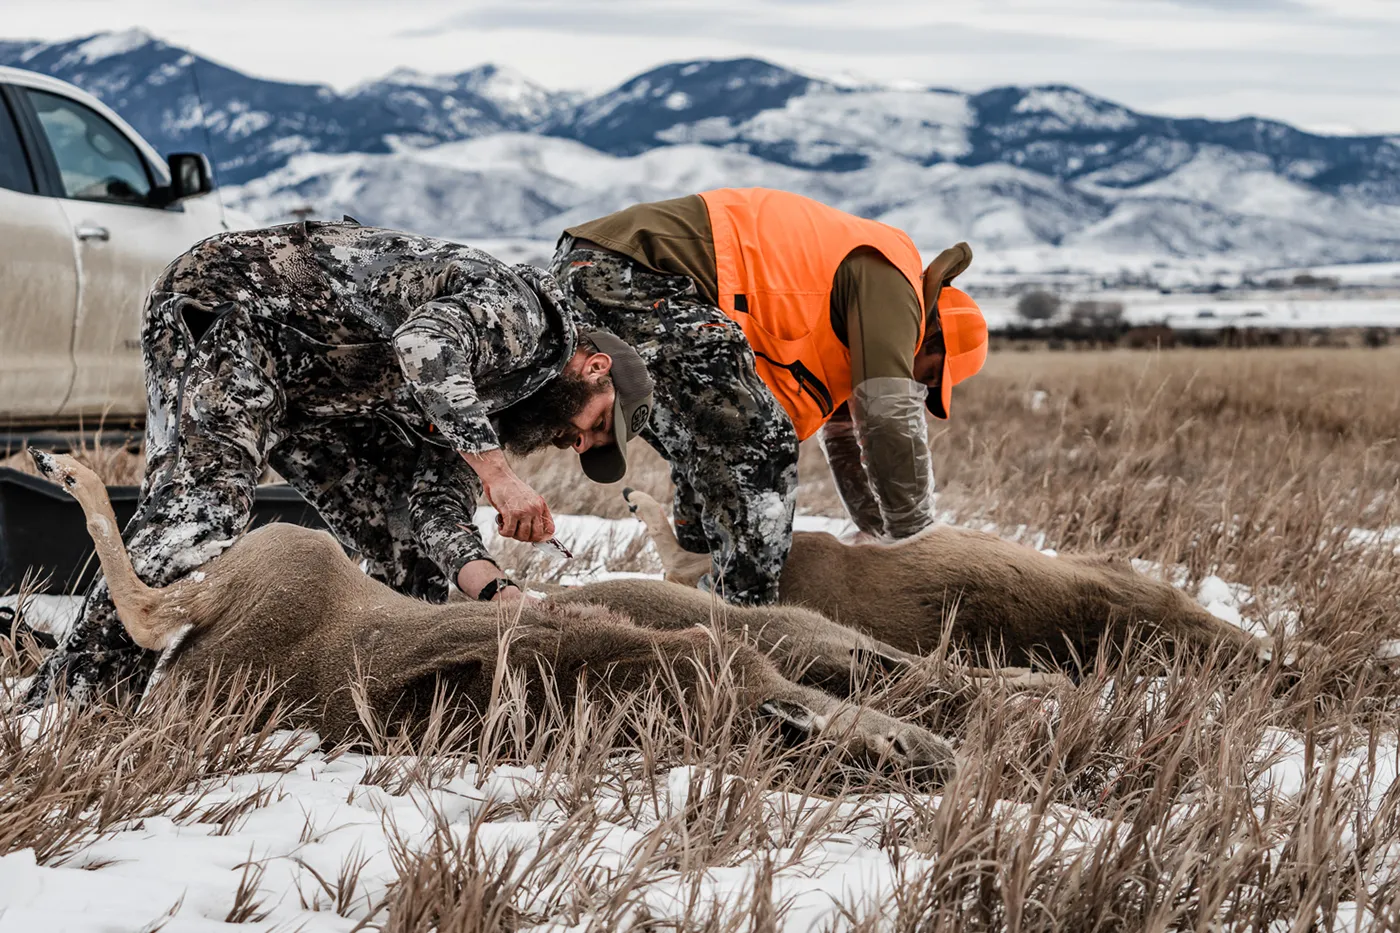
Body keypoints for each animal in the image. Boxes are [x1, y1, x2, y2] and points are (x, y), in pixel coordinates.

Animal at [28, 450, 957, 778]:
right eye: (887, 747)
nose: (938, 754)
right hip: (288, 551)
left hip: (284, 552)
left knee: (148, 602)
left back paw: (65, 467)